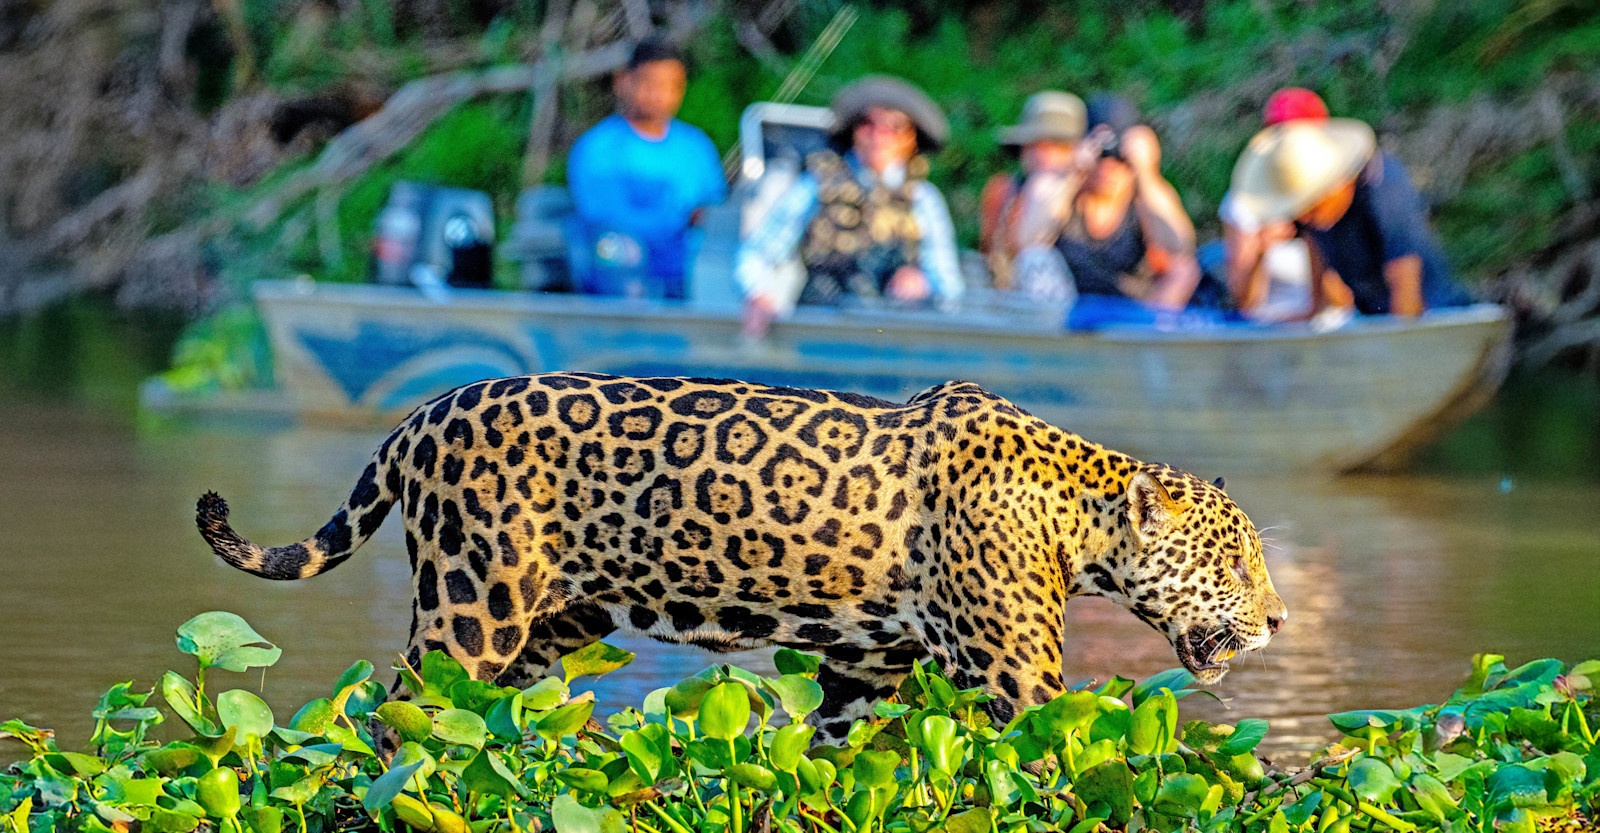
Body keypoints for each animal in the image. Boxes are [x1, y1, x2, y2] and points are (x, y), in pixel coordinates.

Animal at [196, 372, 1286, 744]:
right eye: (1235, 564)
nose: (1277, 618)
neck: (1076, 510)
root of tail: (424, 412)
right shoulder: (1018, 676)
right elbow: (1067, 750)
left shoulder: (863, 665)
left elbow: (840, 752)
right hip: (473, 603)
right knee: (396, 713)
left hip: (551, 624)